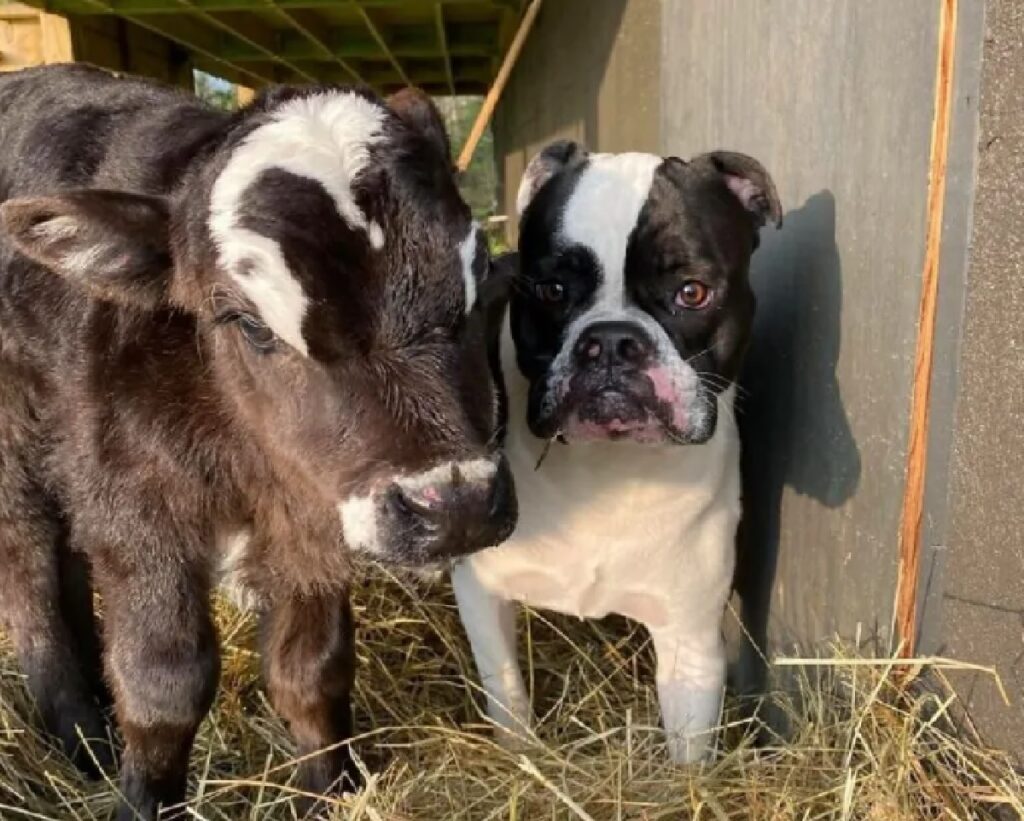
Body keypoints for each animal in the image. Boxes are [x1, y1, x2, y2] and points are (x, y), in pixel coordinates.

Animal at [0, 65, 516, 818]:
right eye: (248, 324)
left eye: (480, 284)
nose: (455, 506)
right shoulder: (134, 507)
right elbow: (164, 682)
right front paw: (143, 798)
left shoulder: (308, 514)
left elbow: (312, 668)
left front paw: (335, 790)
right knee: (29, 571)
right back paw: (81, 737)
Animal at [452, 141, 778, 761]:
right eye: (551, 291)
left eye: (692, 292)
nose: (608, 342)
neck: (608, 469)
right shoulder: (482, 596)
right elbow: (508, 697)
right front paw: (524, 757)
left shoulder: (690, 638)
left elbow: (689, 755)